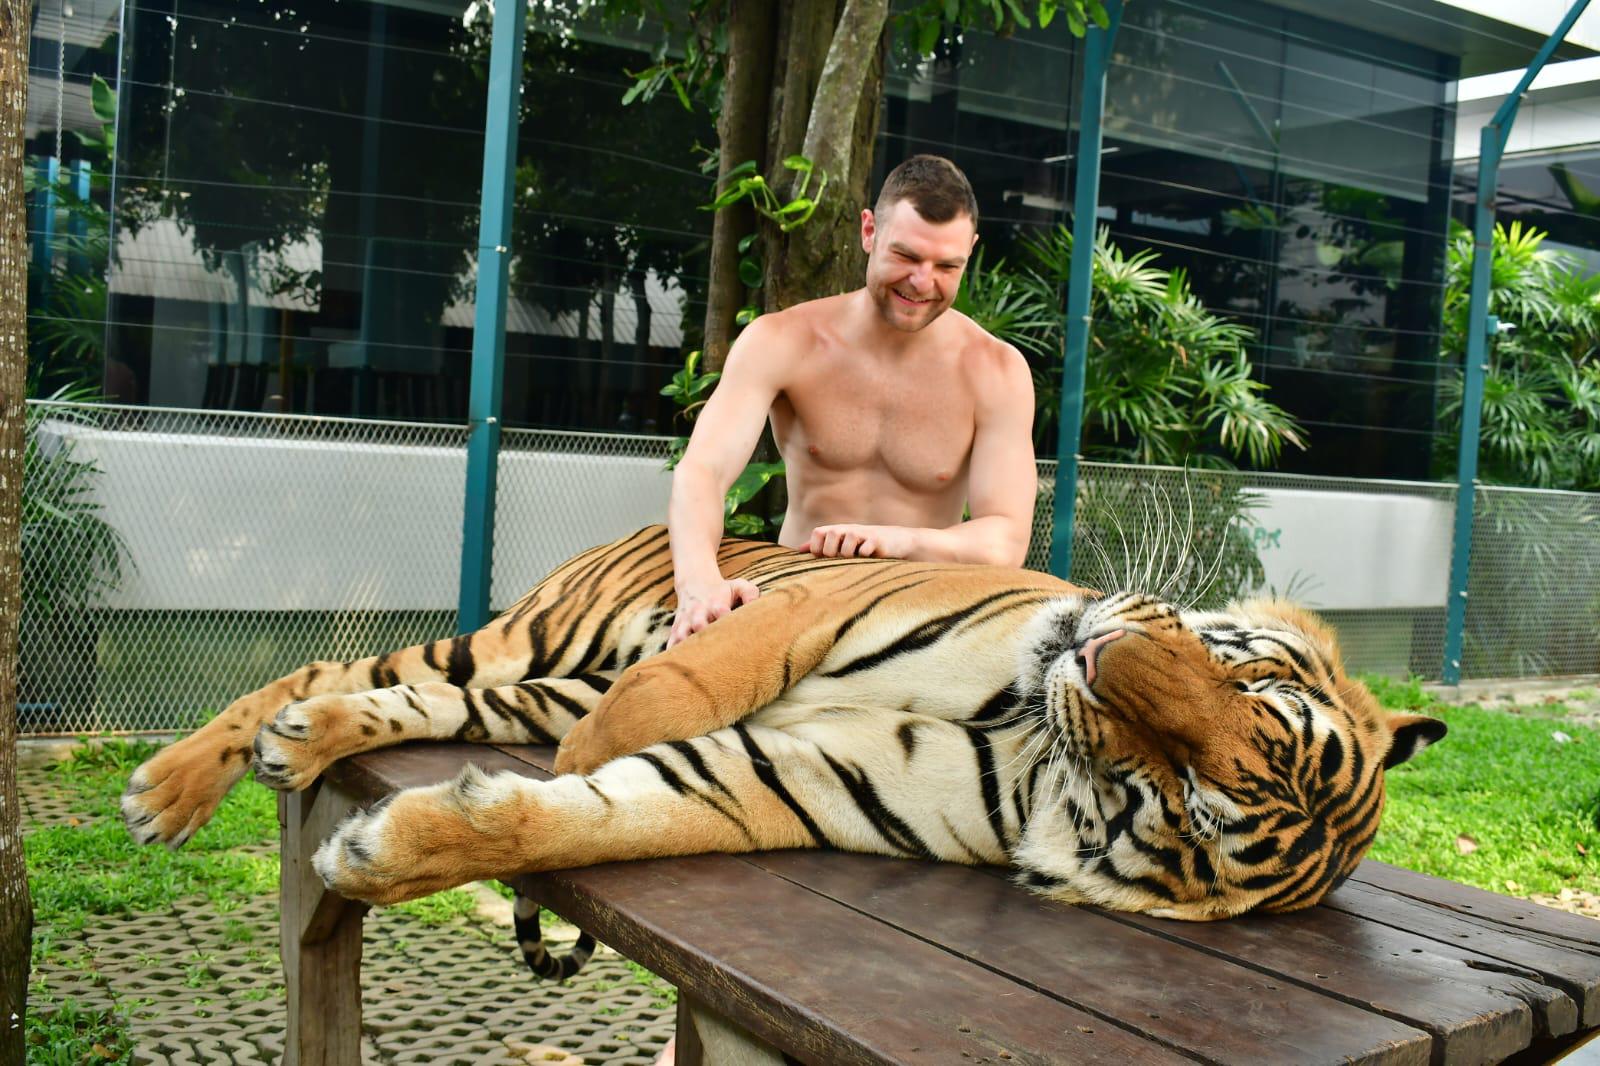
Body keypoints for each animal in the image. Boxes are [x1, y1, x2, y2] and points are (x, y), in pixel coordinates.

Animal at [122, 524, 1445, 937]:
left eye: (1191, 797)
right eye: (1244, 672)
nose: (1099, 655)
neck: (1024, 731)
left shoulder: (790, 773)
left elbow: (610, 809)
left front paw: (392, 851)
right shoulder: (789, 619)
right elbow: (659, 709)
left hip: (526, 683)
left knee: (370, 688)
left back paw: (301, 740)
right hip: (532, 646)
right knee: (322, 658)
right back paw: (171, 787)